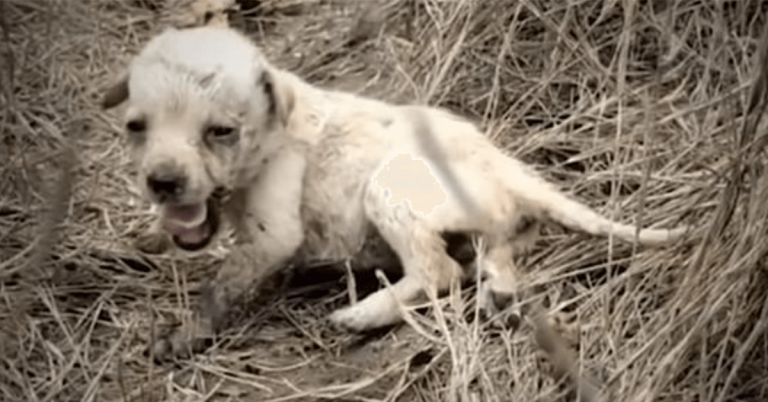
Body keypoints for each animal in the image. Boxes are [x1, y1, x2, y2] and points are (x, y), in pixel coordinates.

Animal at [103, 24, 688, 358]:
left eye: (221, 131)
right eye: (135, 127)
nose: (163, 182)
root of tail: (508, 168)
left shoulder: (273, 232)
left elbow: (220, 287)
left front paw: (181, 337)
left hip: (388, 189)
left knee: (439, 272)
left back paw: (363, 314)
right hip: (490, 226)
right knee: (491, 257)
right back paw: (498, 298)